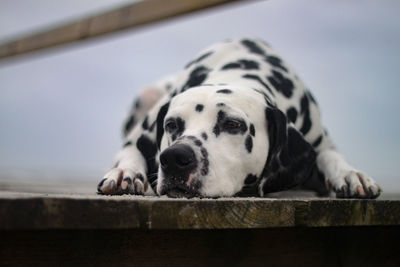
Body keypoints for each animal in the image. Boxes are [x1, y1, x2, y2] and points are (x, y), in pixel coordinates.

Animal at [96, 38, 382, 199]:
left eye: (232, 125)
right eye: (171, 125)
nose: (175, 158)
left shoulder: (320, 141)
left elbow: (331, 155)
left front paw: (351, 175)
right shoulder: (137, 139)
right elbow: (129, 152)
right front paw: (124, 173)